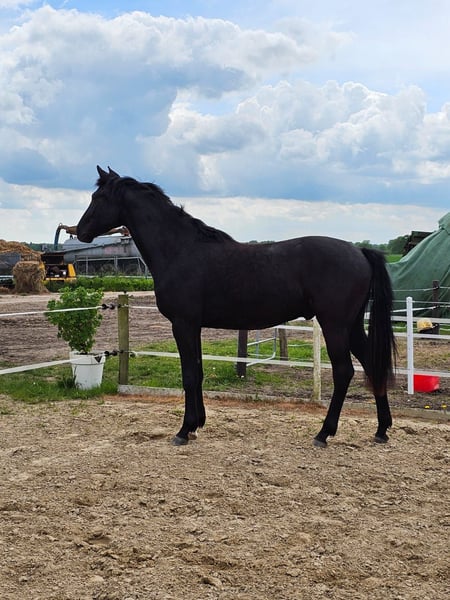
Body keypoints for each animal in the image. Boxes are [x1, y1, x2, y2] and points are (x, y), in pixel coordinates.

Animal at [77, 166, 396, 447]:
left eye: (98, 197)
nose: (80, 231)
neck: (180, 250)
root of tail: (360, 252)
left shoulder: (182, 324)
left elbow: (189, 375)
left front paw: (183, 430)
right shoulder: (194, 326)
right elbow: (198, 372)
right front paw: (197, 425)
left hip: (335, 325)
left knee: (344, 372)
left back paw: (323, 433)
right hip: (352, 326)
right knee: (371, 364)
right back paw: (381, 430)